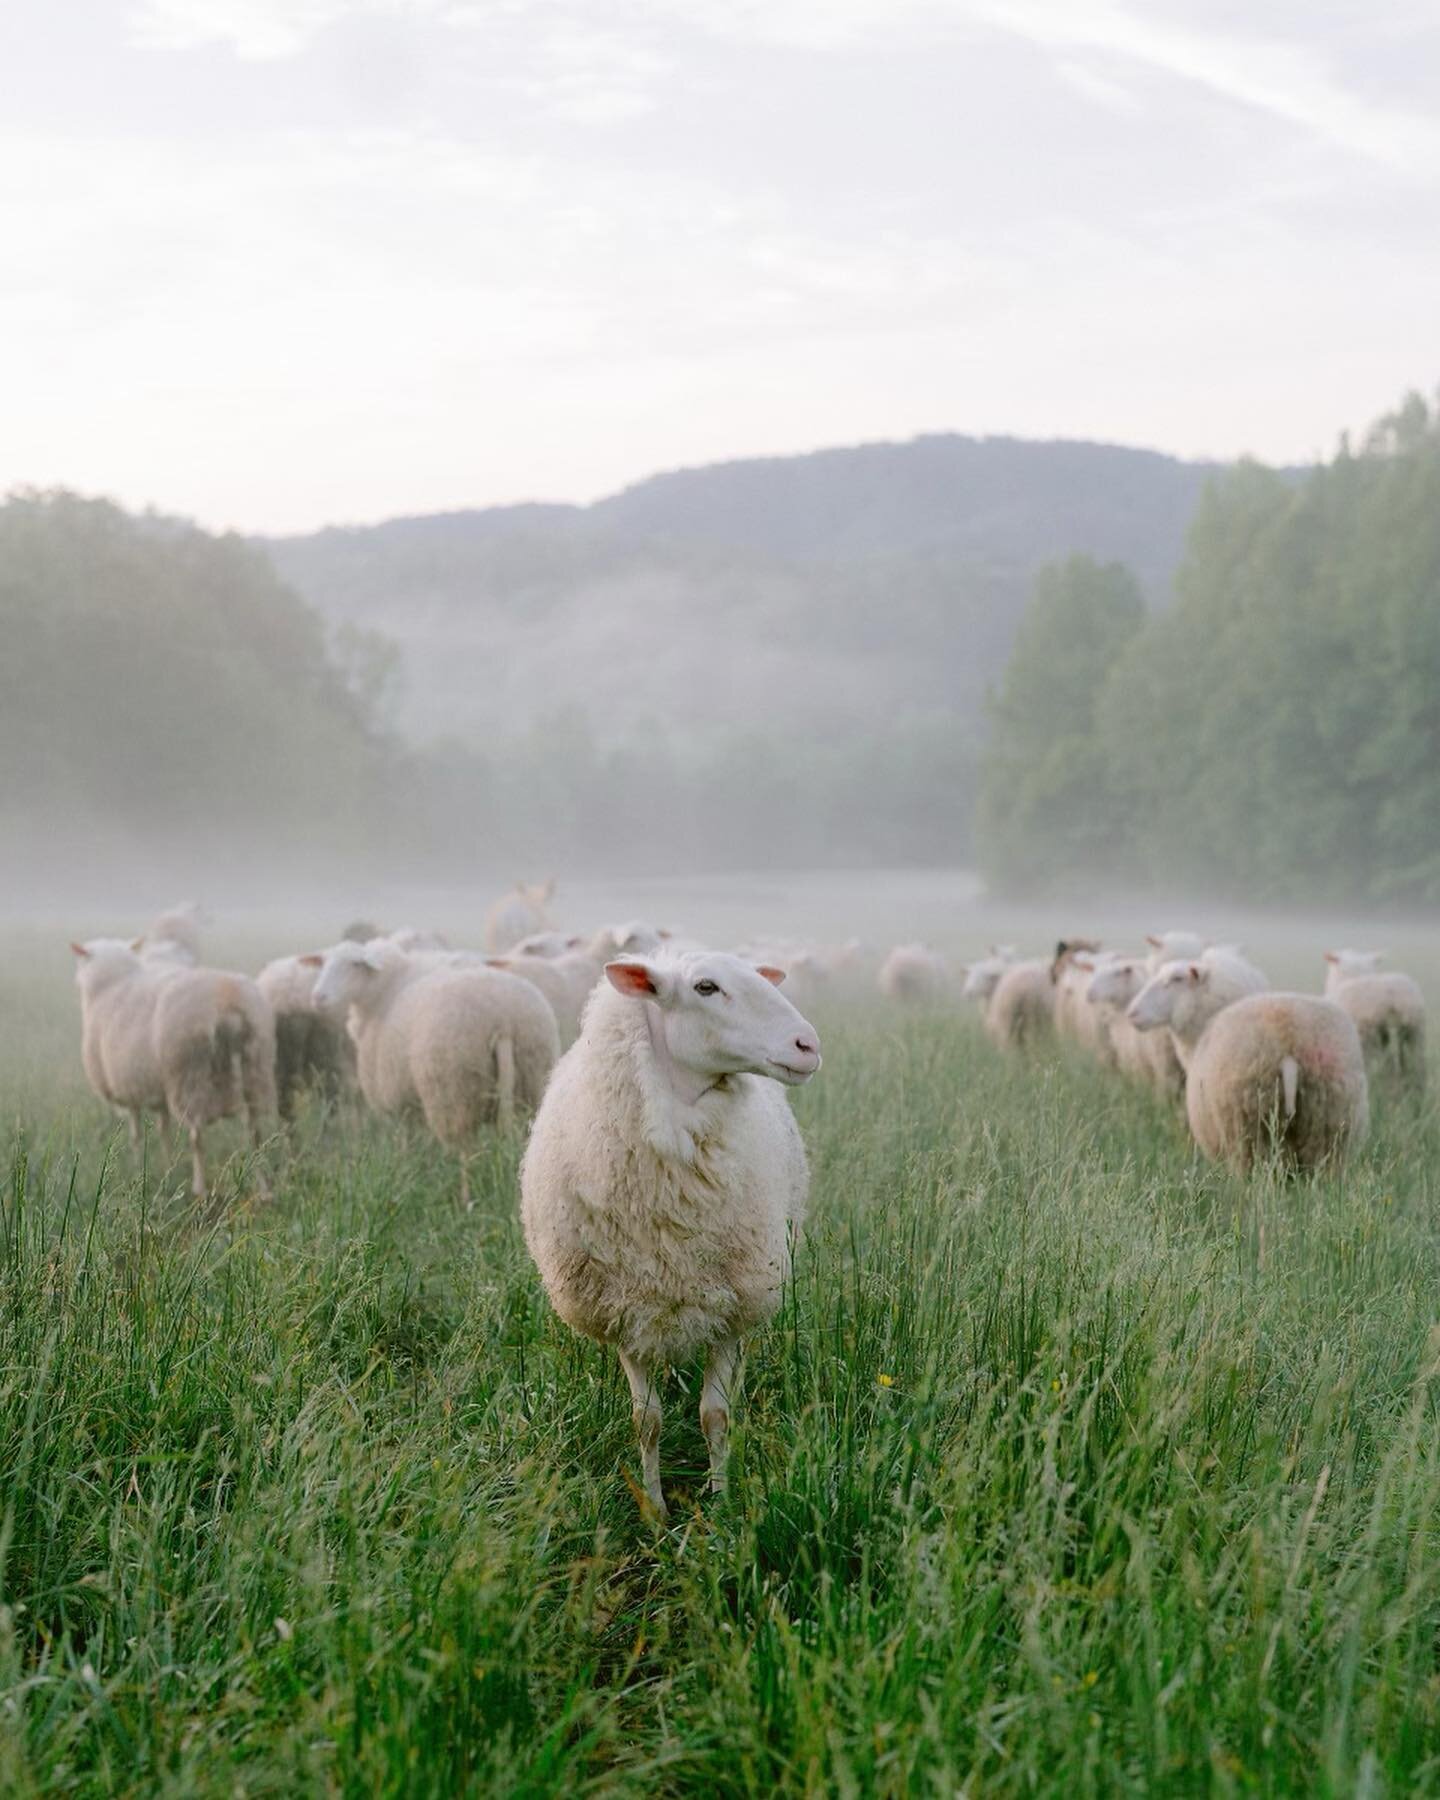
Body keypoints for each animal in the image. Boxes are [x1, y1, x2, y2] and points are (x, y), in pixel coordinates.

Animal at [71, 936, 275, 1202]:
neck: (110, 984)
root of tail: (227, 1004)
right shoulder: (158, 1092)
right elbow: (163, 1131)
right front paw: (168, 1169)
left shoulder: (130, 1089)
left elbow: (136, 1134)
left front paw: (137, 1167)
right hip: (255, 1070)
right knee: (254, 1131)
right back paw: (264, 1189)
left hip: (191, 1078)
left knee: (197, 1137)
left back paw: (200, 1189)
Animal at [311, 928, 558, 1195]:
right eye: (324, 963)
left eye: (354, 964)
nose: (318, 997)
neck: (382, 992)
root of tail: (504, 1019)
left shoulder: (400, 1101)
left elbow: (406, 1142)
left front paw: (407, 1172)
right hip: (531, 1080)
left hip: (452, 1089)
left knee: (464, 1148)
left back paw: (465, 1194)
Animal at [522, 950, 820, 1512]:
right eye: (705, 987)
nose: (808, 1045)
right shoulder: (626, 1311)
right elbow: (647, 1422)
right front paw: (656, 1511)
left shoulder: (731, 1309)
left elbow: (716, 1416)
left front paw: (722, 1504)